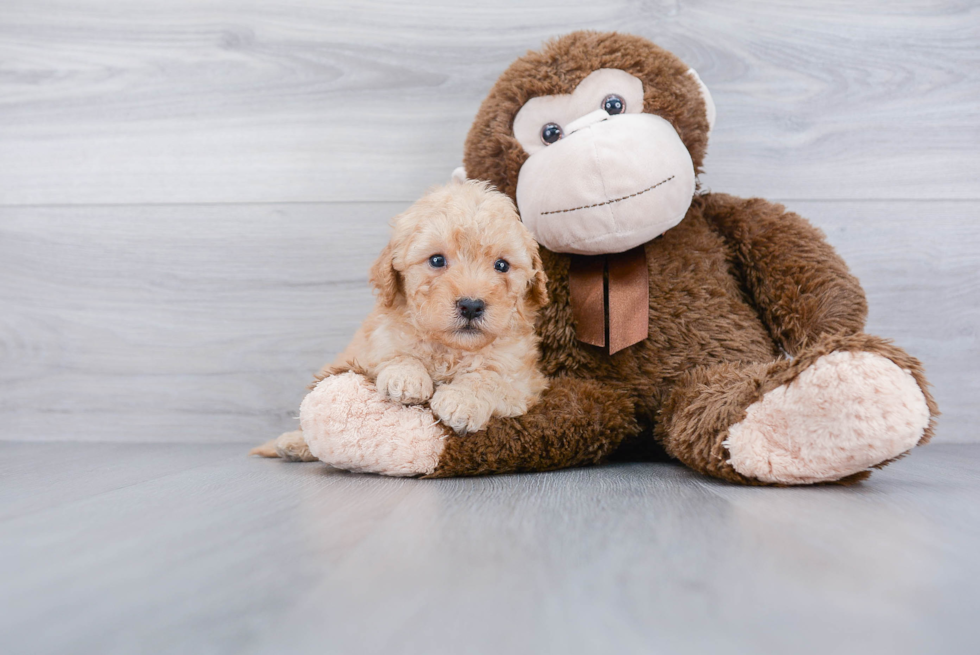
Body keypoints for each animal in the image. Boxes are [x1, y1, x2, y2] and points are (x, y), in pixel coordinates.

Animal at [251, 181, 552, 462]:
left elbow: (488, 377)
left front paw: (461, 400)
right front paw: (406, 377)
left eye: (502, 265)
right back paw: (293, 443)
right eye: (437, 260)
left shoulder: (524, 383)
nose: (471, 306)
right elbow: (396, 354)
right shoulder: (372, 347)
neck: (450, 349)